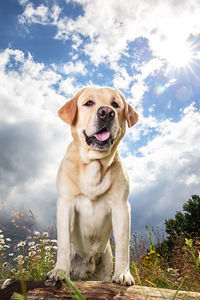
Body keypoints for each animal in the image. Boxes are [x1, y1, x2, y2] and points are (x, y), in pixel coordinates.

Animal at [47, 85, 138, 284]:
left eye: (116, 105)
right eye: (89, 103)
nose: (107, 113)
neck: (95, 164)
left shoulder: (121, 207)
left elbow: (123, 244)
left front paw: (123, 273)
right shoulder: (66, 204)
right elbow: (63, 241)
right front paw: (60, 271)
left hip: (105, 260)